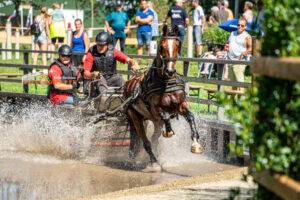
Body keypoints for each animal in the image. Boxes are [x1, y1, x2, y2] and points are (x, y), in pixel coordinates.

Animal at [122, 25, 204, 172]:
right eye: (162, 46)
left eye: (177, 45)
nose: (170, 71)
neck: (165, 82)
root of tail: (128, 83)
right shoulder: (155, 109)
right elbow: (165, 115)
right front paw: (169, 132)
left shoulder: (181, 104)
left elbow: (190, 117)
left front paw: (195, 144)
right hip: (135, 117)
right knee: (146, 141)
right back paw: (153, 162)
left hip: (154, 121)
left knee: (154, 139)